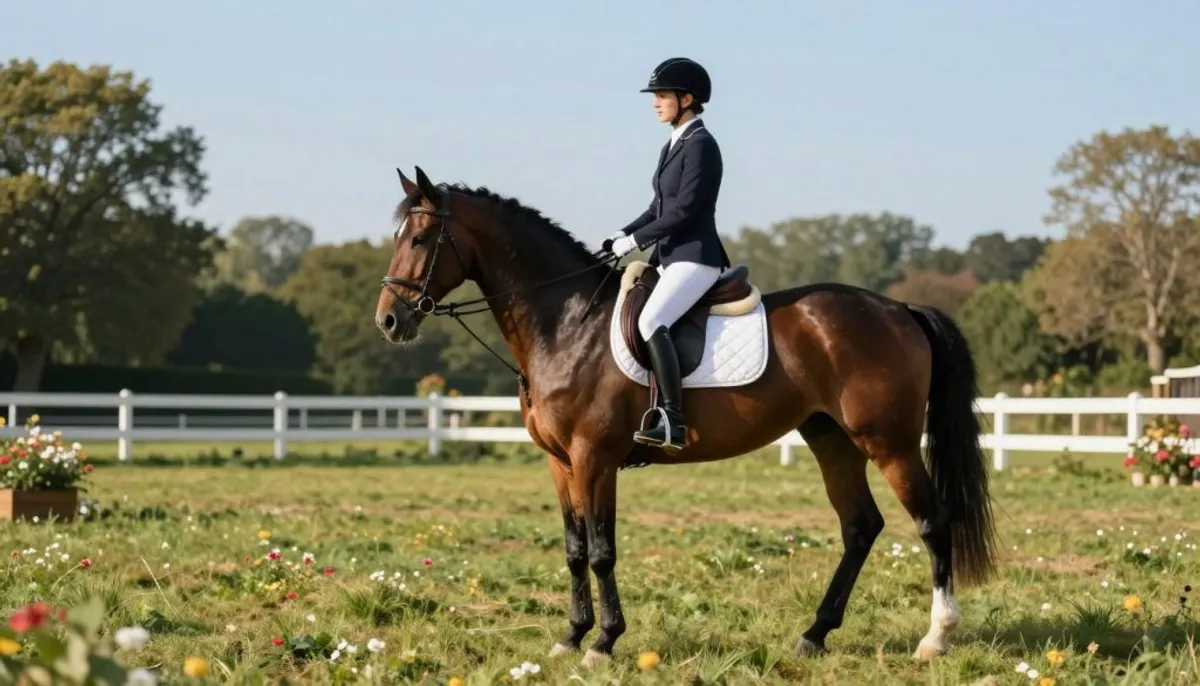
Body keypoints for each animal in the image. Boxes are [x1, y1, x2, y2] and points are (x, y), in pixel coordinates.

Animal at [374, 166, 997, 668]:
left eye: (423, 237)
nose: (389, 321)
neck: (567, 323)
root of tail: (898, 309)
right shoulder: (560, 463)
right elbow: (575, 551)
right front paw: (570, 637)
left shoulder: (594, 458)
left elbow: (601, 551)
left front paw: (604, 642)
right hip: (831, 438)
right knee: (860, 527)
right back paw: (814, 635)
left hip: (889, 442)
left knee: (933, 521)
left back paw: (935, 638)